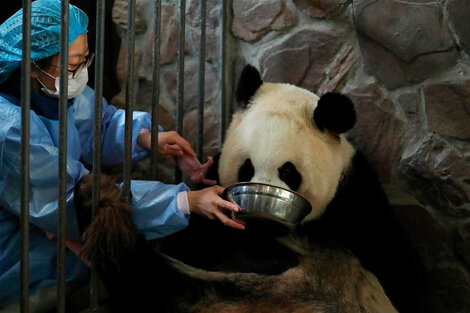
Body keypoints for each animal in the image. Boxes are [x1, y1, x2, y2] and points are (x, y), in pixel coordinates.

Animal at [77, 64, 430, 312]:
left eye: (288, 172)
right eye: (247, 167)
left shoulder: (354, 196)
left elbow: (397, 263)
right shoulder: (217, 183)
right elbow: (197, 238)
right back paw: (102, 205)